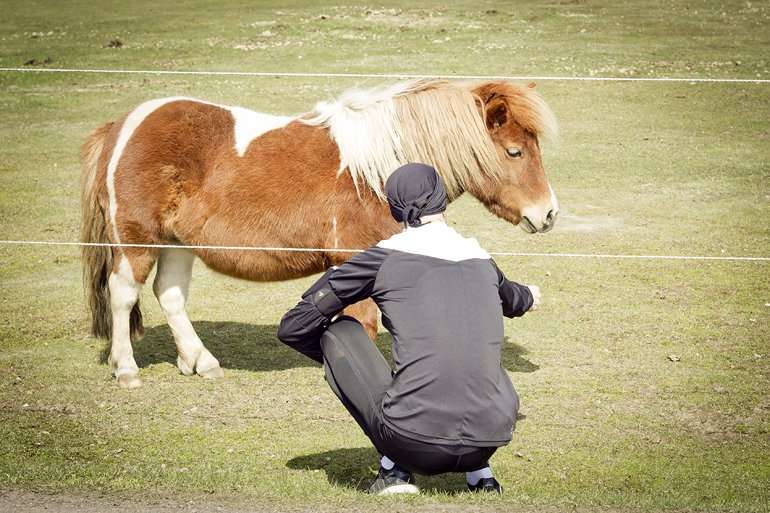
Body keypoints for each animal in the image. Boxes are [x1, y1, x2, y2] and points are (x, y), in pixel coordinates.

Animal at [79, 79, 560, 388]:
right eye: (514, 152)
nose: (549, 213)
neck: (379, 171)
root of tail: (124, 126)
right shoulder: (354, 259)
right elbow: (363, 321)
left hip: (178, 244)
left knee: (171, 295)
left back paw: (200, 362)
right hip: (137, 241)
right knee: (123, 294)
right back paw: (127, 370)